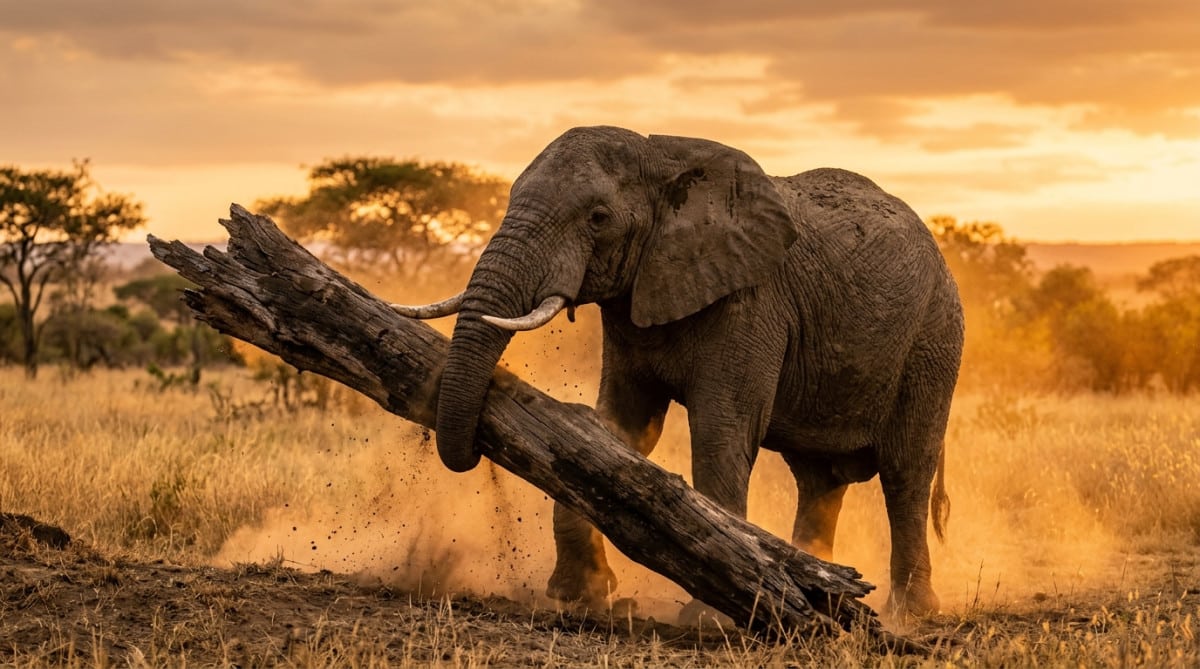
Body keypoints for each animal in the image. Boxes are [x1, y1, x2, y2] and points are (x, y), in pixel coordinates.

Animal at [395, 126, 964, 616]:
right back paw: (822, 582)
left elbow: (721, 431)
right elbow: (617, 429)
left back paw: (910, 613)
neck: (663, 159)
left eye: (598, 217)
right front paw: (578, 596)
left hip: (934, 341)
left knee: (906, 471)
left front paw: (714, 617)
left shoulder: (751, 301)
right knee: (820, 481)